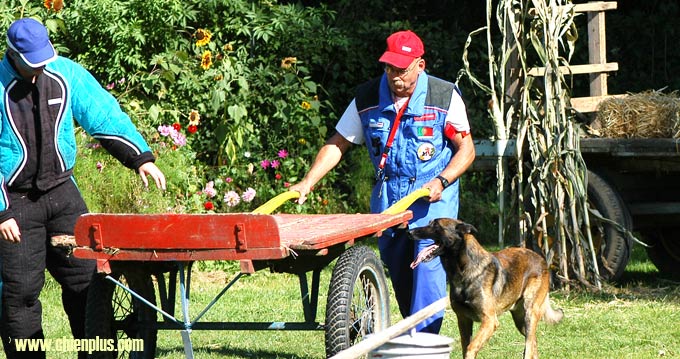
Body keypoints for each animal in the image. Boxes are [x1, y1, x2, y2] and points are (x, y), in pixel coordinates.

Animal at [410, 218, 564, 359]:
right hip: (521, 320)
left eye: (436, 225)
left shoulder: (489, 321)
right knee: (533, 343)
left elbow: (471, 347)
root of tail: (541, 259)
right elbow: (465, 347)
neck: (464, 269)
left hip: (529, 313)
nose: (409, 232)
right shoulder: (463, 319)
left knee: (529, 345)